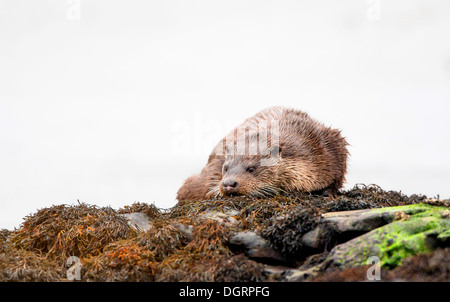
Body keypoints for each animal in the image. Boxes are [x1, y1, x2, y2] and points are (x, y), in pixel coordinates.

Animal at [176, 107, 348, 203]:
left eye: (251, 169)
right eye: (226, 168)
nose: (228, 183)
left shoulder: (332, 143)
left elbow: (338, 175)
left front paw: (328, 193)